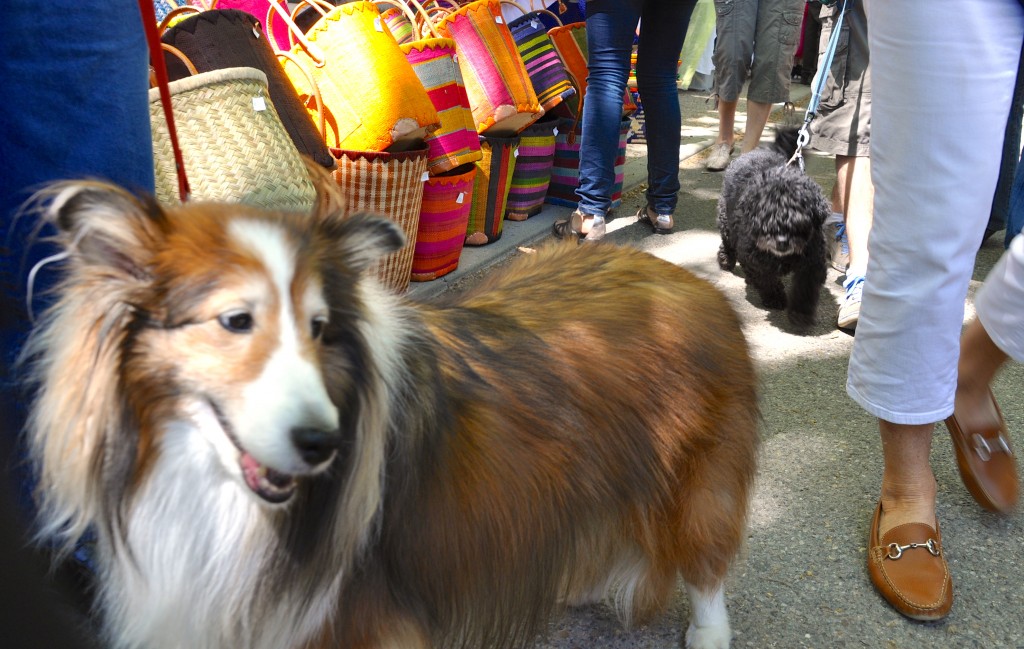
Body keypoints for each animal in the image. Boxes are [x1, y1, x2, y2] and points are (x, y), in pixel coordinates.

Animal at [22, 172, 761, 646]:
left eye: (321, 326)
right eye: (235, 319)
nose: (324, 444)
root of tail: (696, 282)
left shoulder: (363, 618)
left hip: (696, 479)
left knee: (706, 563)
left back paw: (707, 632)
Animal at [720, 126, 831, 325]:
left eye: (801, 223)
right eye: (765, 220)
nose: (781, 242)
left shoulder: (812, 263)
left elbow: (805, 288)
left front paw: (800, 313)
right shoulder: (754, 258)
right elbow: (766, 279)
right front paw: (775, 298)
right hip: (726, 220)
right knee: (727, 242)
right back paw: (725, 259)